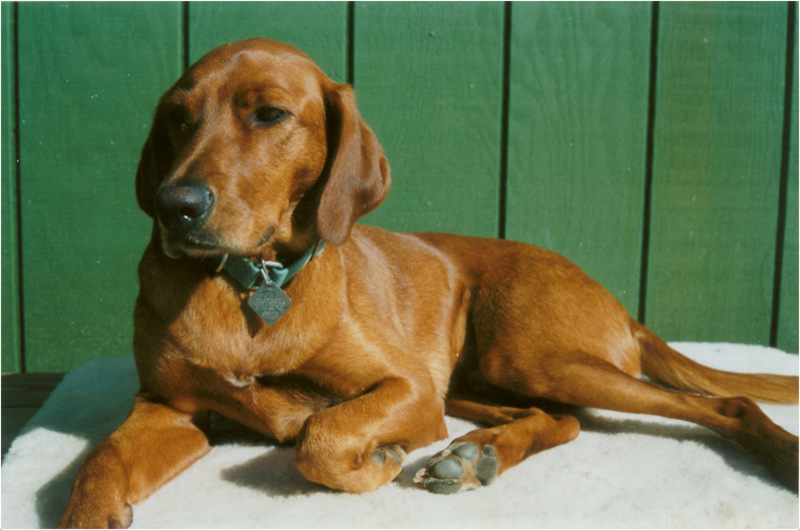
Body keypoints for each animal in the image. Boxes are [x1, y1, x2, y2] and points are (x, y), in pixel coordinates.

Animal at [57, 37, 800, 524]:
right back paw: (475, 456)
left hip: (530, 354)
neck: (249, 282)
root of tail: (615, 299)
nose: (175, 205)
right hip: (485, 379)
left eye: (268, 114)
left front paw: (374, 459)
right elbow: (100, 462)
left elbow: (319, 436)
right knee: (559, 418)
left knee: (723, 406)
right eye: (178, 117)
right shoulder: (165, 407)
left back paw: (781, 456)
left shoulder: (407, 386)